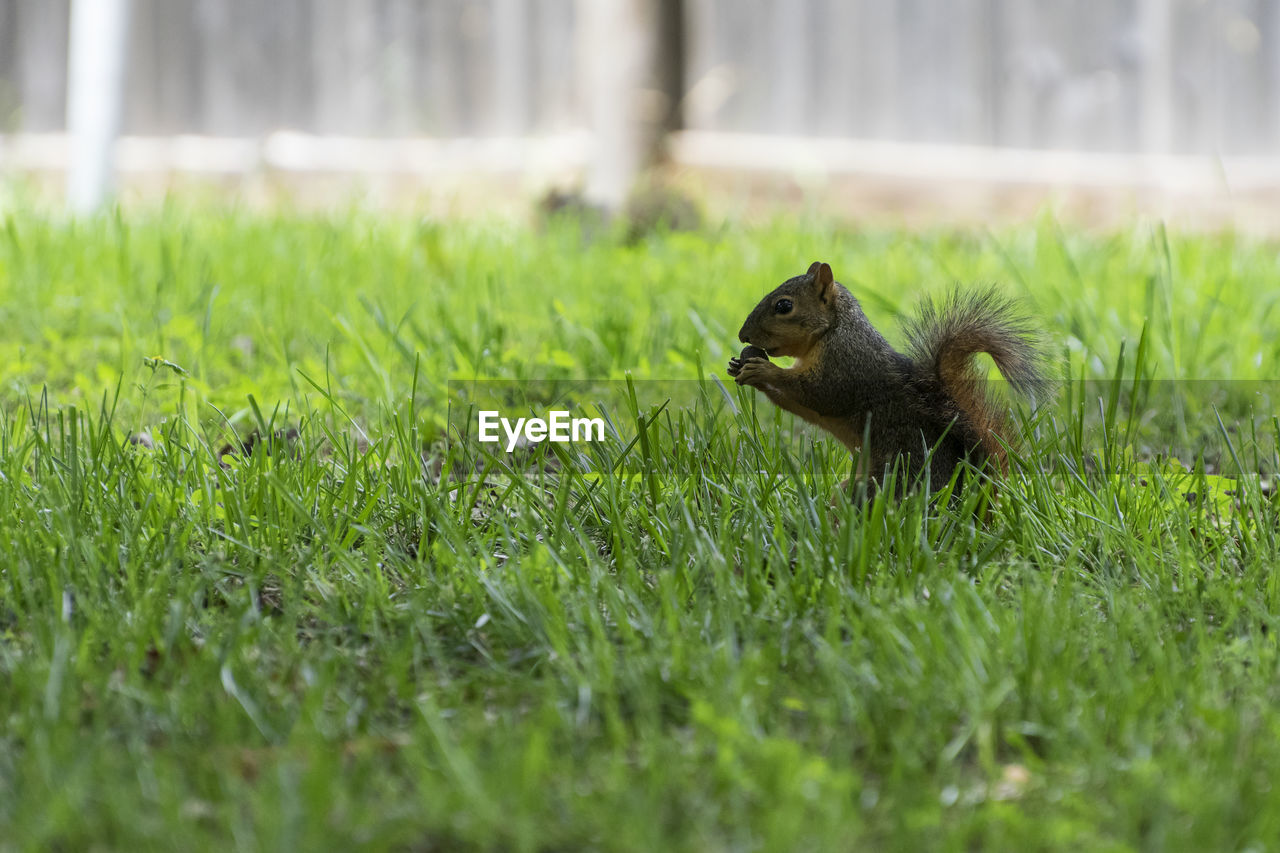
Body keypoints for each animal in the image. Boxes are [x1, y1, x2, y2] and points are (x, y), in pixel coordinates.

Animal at [727, 261, 1043, 496]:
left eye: (784, 306)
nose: (742, 336)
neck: (832, 331)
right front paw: (738, 367)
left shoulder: (847, 366)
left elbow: (817, 394)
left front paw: (763, 370)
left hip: (883, 484)